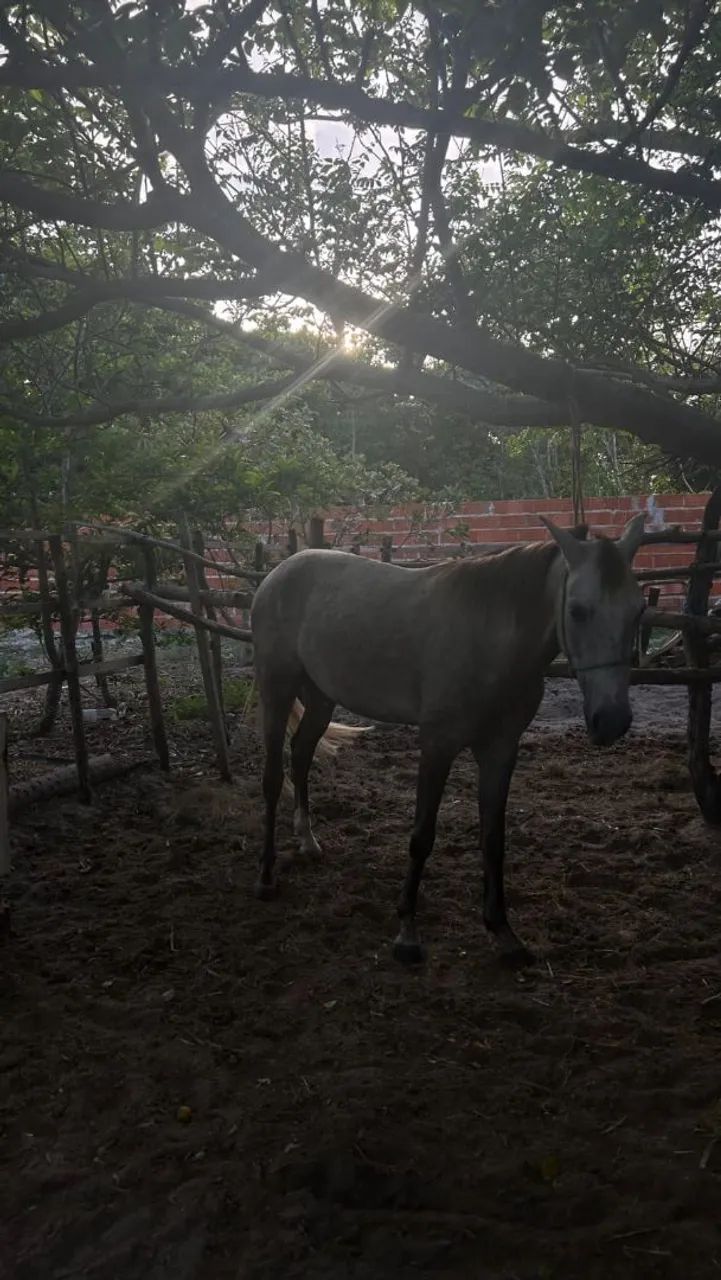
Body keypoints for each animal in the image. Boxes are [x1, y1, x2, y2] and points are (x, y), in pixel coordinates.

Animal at [250, 514, 646, 966]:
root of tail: (278, 573)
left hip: (320, 697)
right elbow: (422, 835)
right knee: (273, 778)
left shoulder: (500, 751)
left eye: (639, 610)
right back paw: (266, 876)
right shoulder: (438, 745)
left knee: (301, 755)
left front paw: (503, 931)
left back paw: (308, 841)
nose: (611, 721)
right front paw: (407, 933)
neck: (489, 639)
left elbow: (494, 838)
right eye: (578, 611)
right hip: (277, 690)